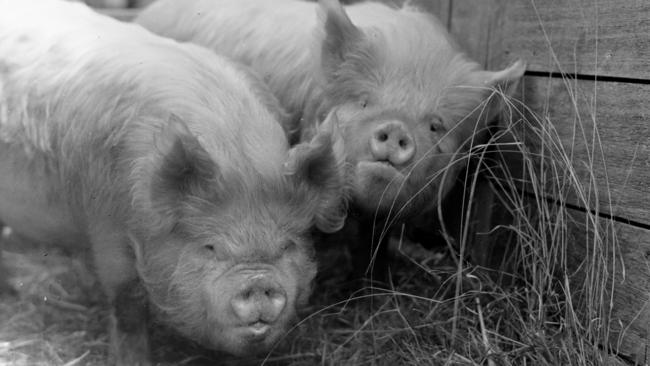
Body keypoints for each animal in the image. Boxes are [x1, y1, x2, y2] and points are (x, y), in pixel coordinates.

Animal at [0, 0, 350, 364]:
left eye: (287, 245)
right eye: (210, 247)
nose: (258, 282)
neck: (238, 159)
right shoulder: (105, 223)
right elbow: (127, 301)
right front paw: (133, 359)